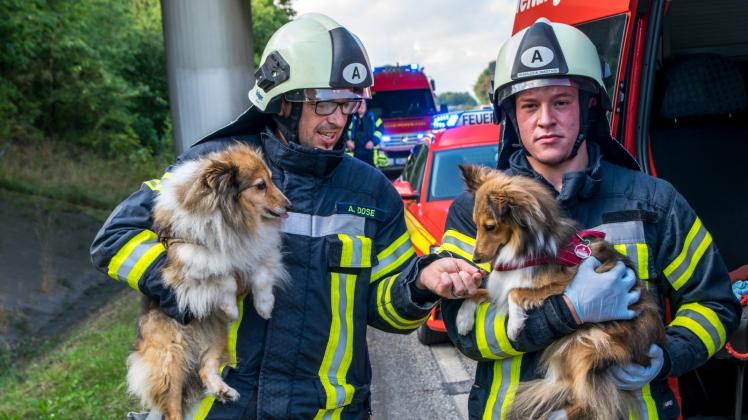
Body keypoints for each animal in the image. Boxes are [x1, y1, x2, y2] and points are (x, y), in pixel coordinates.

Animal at [125, 143, 290, 418]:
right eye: (260, 185)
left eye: (270, 179)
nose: (289, 204)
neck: (234, 219)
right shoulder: (191, 256)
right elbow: (225, 278)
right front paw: (231, 309)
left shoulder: (258, 250)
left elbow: (261, 276)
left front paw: (265, 307)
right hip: (171, 357)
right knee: (171, 406)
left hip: (216, 337)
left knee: (206, 368)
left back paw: (223, 391)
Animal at [452, 166, 664, 420]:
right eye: (475, 224)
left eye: (490, 226)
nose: (475, 259)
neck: (525, 248)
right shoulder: (498, 287)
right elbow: (476, 292)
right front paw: (463, 320)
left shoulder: (565, 280)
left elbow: (515, 292)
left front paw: (514, 325)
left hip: (589, 344)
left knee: (588, 400)